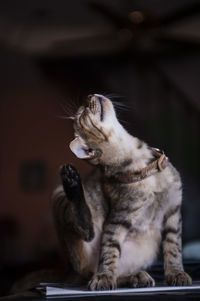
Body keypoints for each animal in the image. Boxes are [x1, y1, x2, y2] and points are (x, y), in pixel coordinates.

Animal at [52, 93, 192, 288]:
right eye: (81, 117)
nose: (89, 95)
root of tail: (72, 272)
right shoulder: (119, 216)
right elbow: (109, 250)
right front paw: (104, 277)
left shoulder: (173, 212)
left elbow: (174, 248)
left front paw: (177, 273)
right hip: (59, 195)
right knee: (87, 233)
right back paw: (71, 182)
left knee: (117, 276)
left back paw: (137, 277)